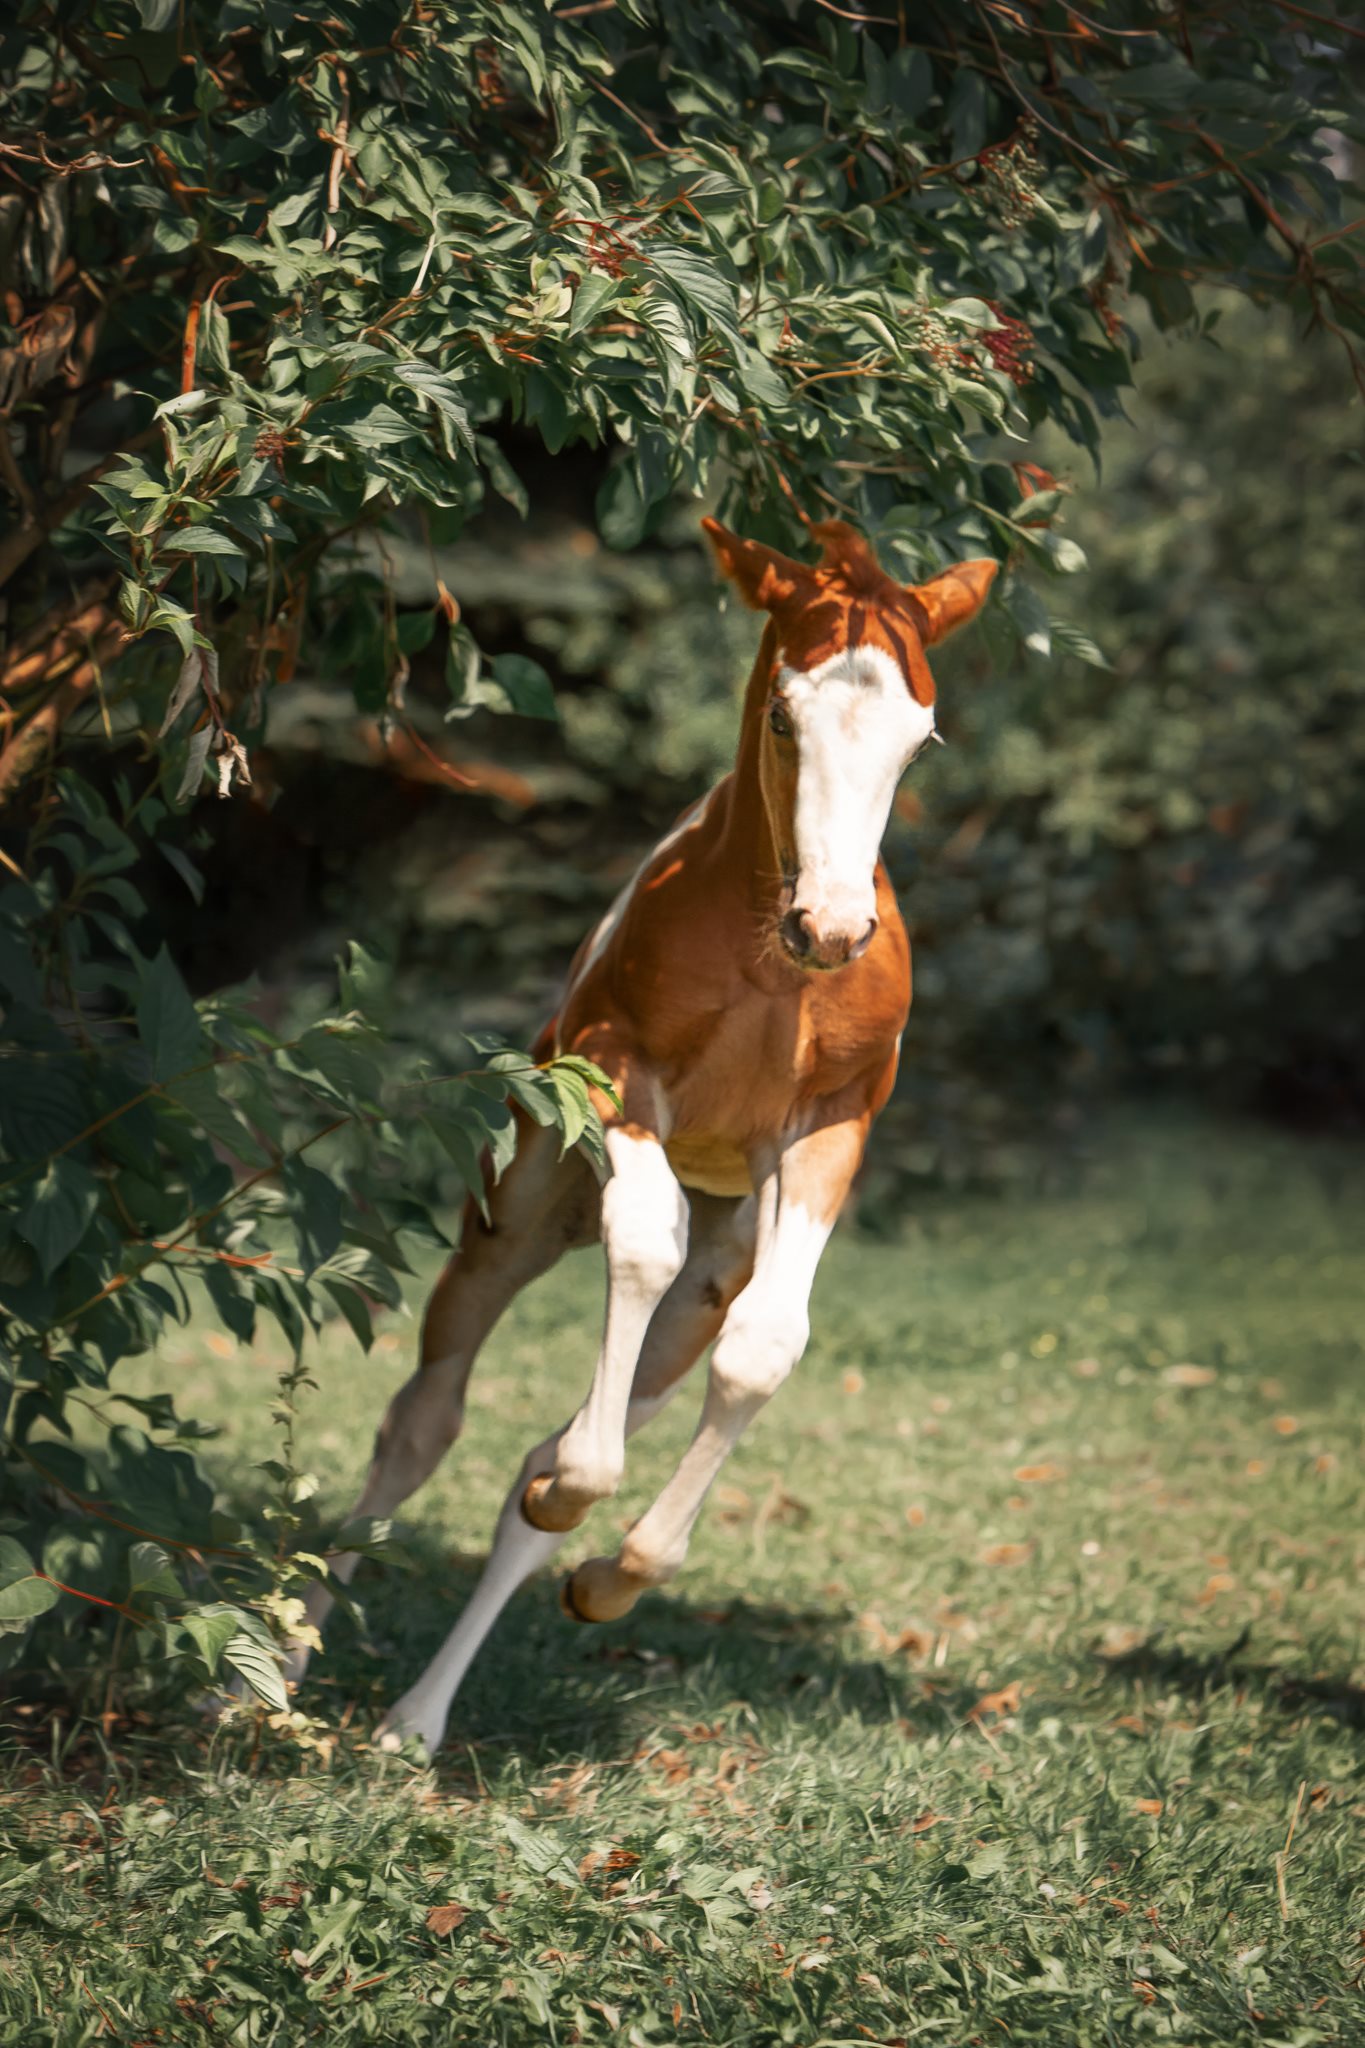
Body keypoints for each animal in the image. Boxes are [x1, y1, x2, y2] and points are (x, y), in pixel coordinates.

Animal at [296, 520, 994, 1753]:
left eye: (919, 742)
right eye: (783, 715)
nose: (834, 927)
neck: (770, 966)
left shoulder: (834, 1126)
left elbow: (766, 1344)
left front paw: (613, 1574)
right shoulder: (616, 1073)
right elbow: (641, 1237)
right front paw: (579, 1489)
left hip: (717, 1260)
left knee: (592, 1410)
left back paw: (423, 1711)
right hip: (516, 1213)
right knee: (422, 1423)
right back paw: (272, 1679)